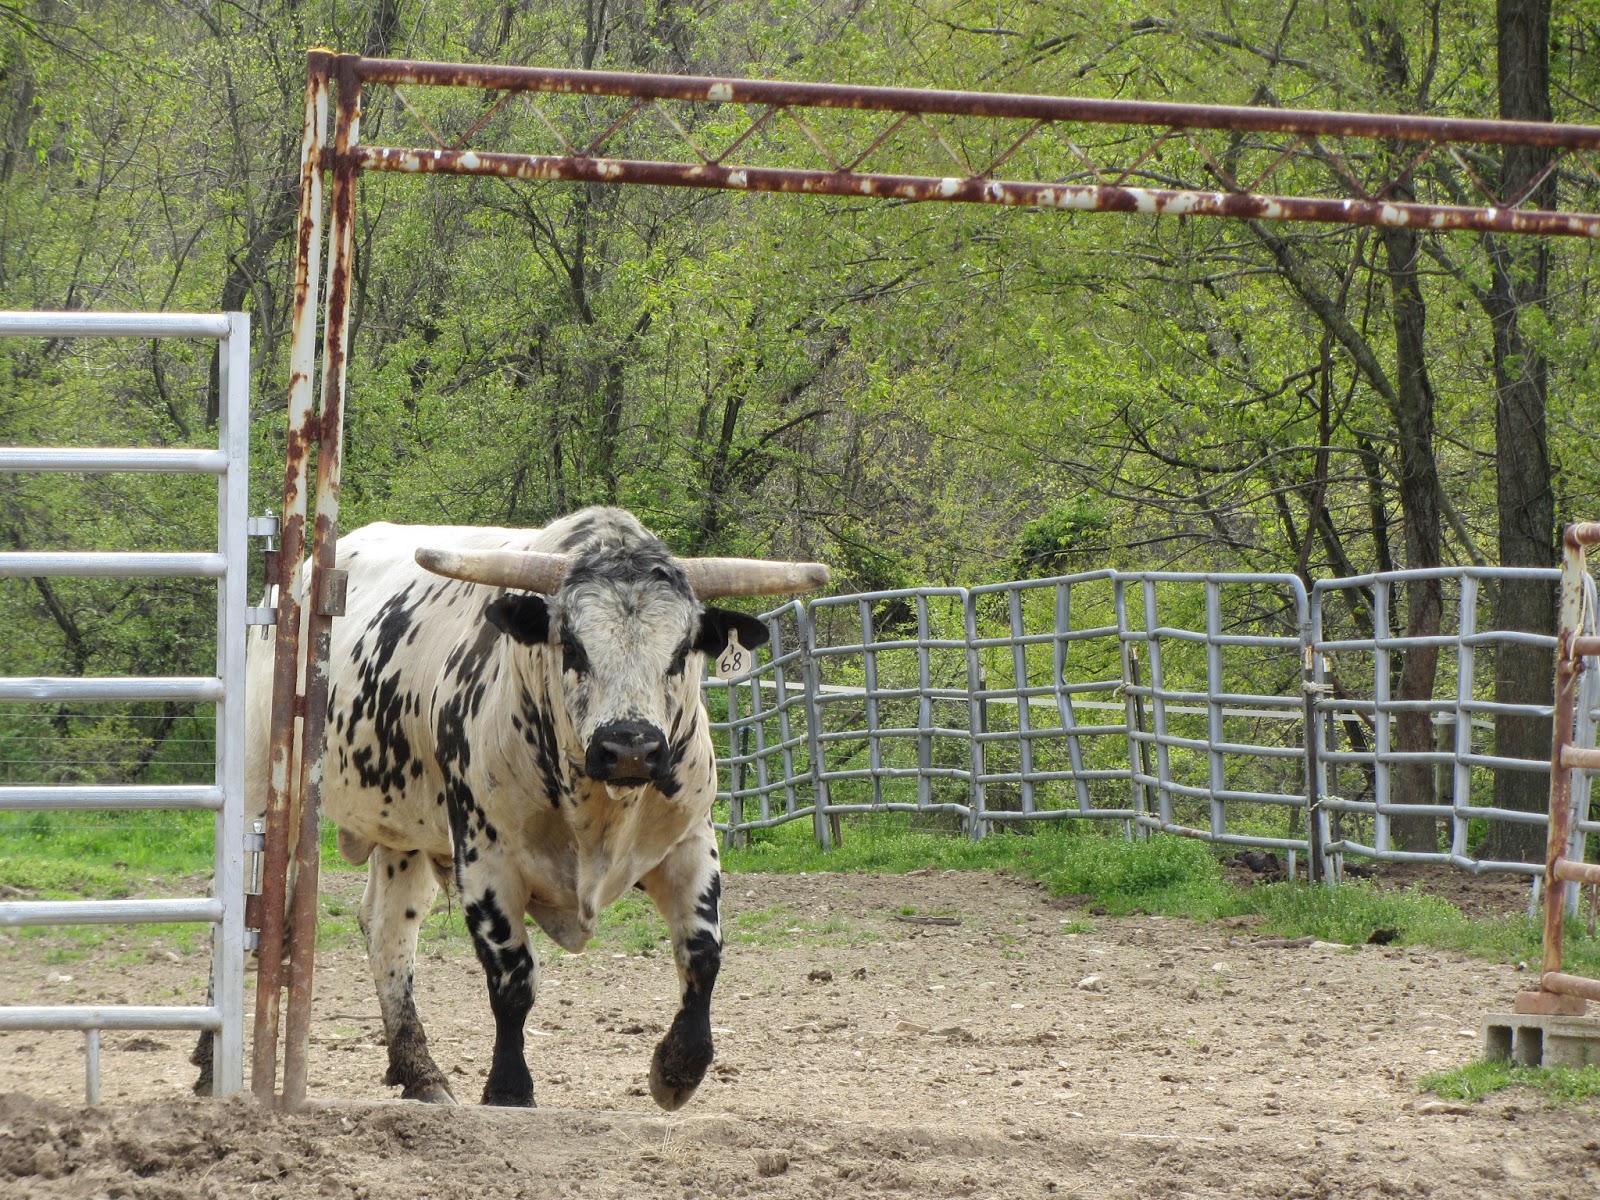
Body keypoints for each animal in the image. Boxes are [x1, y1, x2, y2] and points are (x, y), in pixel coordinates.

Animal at [197, 507, 827, 1108]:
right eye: (572, 645)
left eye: (680, 652)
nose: (630, 747)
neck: (598, 813)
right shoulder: (486, 858)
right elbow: (513, 980)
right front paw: (508, 1089)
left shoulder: (691, 842)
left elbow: (702, 954)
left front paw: (677, 1072)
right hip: (261, 790)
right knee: (240, 912)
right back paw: (208, 1063)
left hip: (404, 832)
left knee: (388, 931)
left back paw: (421, 1074)